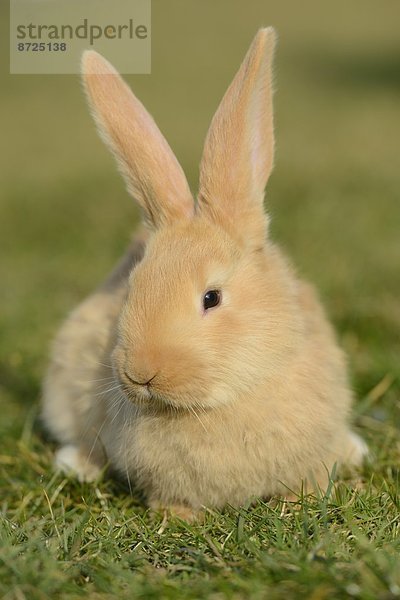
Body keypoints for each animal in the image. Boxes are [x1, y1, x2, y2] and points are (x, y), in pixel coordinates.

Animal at [42, 29, 368, 520]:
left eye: (211, 297)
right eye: (131, 289)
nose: (141, 373)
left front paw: (303, 498)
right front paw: (176, 515)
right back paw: (76, 462)